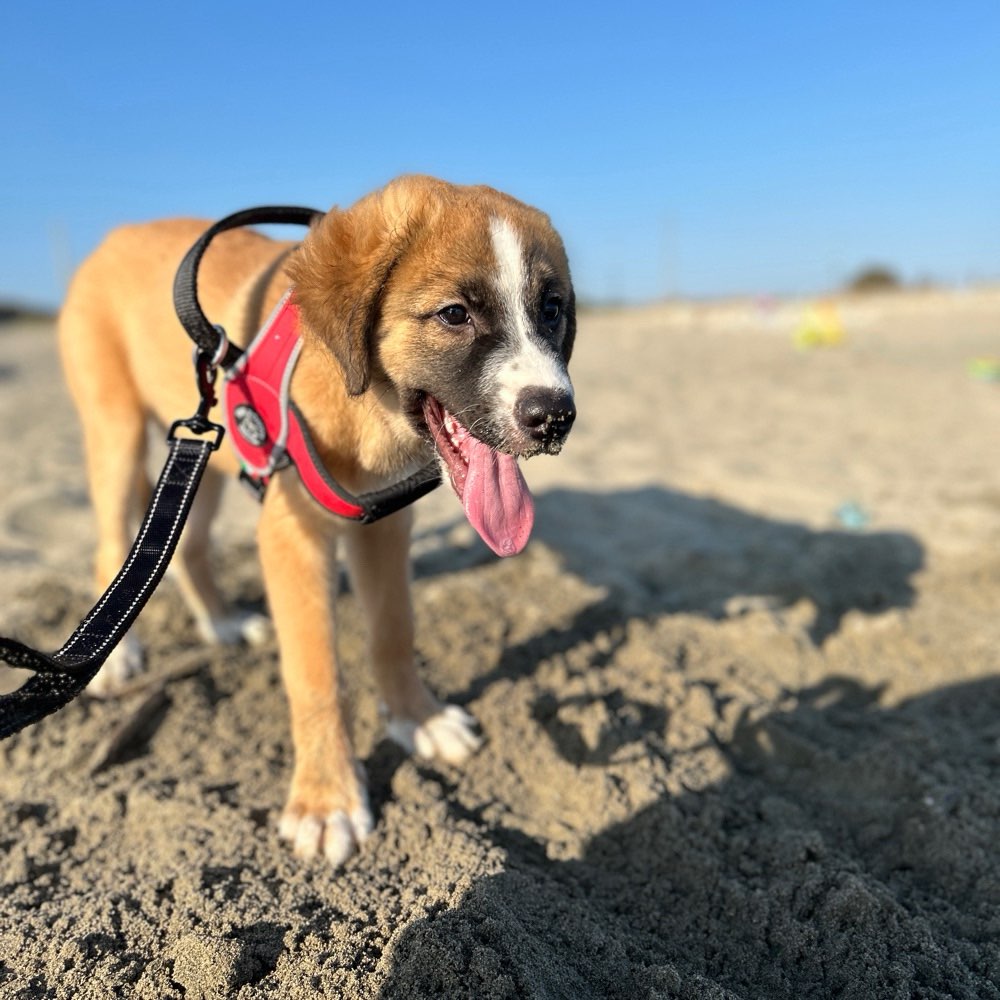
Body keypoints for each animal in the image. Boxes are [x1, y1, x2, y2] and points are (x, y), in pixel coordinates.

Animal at [60, 178, 580, 868]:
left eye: (551, 309)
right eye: (454, 314)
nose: (554, 416)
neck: (361, 403)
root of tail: (113, 236)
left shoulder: (382, 527)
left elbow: (394, 633)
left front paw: (419, 720)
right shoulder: (293, 539)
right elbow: (317, 677)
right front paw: (326, 800)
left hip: (206, 444)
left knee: (188, 542)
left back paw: (221, 623)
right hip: (115, 432)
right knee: (114, 543)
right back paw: (119, 659)